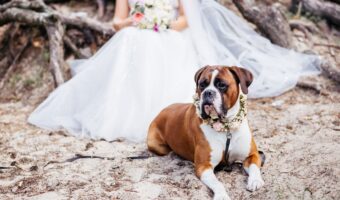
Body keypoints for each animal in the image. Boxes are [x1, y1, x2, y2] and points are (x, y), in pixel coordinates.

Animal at [147, 65, 264, 200]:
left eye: (222, 85)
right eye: (202, 85)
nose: (208, 92)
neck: (226, 128)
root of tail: (163, 110)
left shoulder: (252, 155)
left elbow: (255, 168)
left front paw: (255, 181)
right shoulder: (203, 166)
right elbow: (217, 183)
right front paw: (222, 195)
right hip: (156, 144)